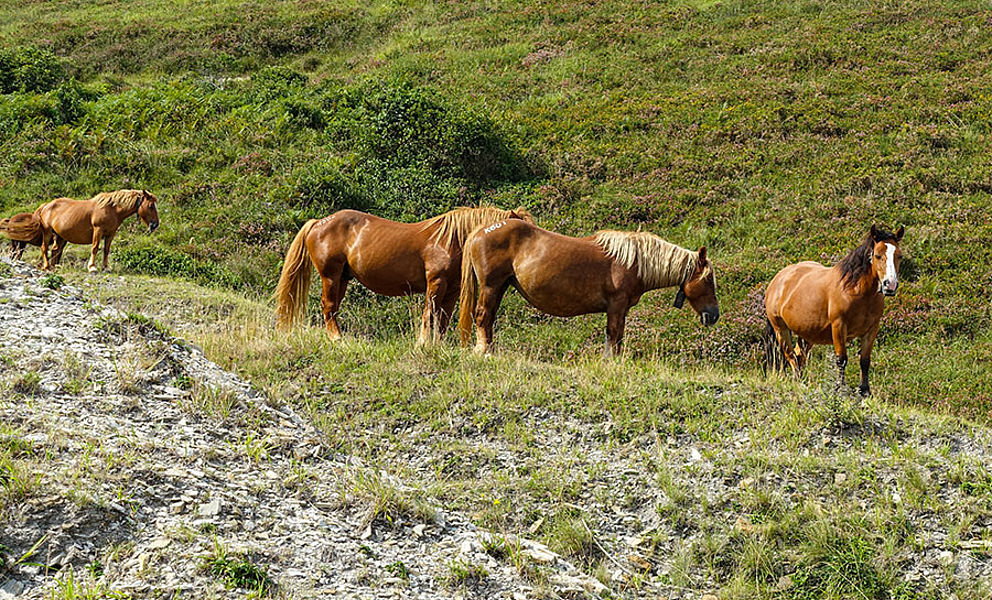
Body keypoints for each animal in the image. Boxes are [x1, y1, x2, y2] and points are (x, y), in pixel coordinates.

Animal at [272, 206, 536, 344]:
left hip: (343, 279)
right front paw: (423, 343)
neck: (451, 240)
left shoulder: (451, 290)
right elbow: (429, 315)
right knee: (327, 306)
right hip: (330, 275)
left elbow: (443, 320)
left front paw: (438, 345)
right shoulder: (436, 283)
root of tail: (318, 222)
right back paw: (336, 338)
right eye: (524, 231)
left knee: (333, 307)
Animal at [458, 221, 720, 356]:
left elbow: (617, 335)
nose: (714, 315)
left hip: (500, 287)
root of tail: (480, 231)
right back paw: (483, 351)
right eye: (708, 280)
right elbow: (613, 334)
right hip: (491, 286)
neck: (633, 261)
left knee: (489, 318)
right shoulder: (616, 305)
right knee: (483, 316)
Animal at [768, 223, 908, 396]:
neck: (856, 291)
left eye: (899, 256)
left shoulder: (872, 329)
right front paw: (840, 389)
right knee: (791, 355)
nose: (890, 285)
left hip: (807, 334)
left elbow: (865, 360)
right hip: (781, 330)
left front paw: (864, 391)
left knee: (799, 356)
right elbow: (841, 359)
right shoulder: (839, 326)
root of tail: (778, 279)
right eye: (877, 255)